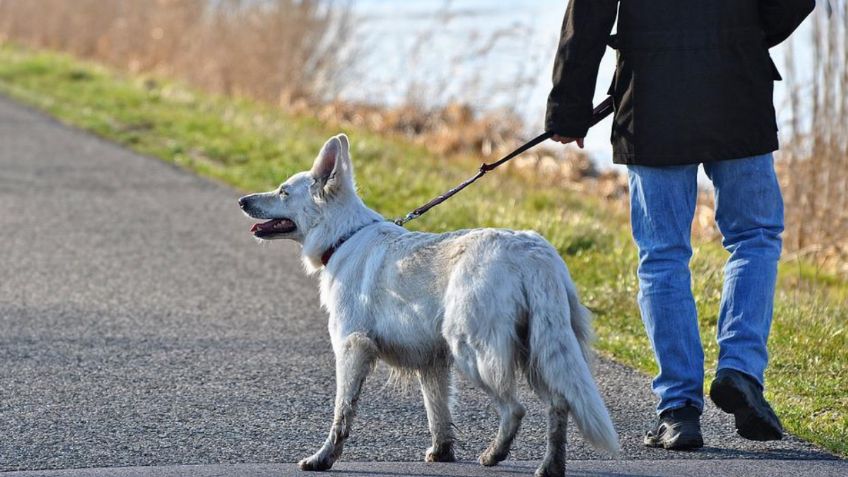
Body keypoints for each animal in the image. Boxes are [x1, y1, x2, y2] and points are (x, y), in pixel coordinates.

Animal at [240, 134, 624, 476]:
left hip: (474, 351)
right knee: (559, 404)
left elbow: (342, 413)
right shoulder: (432, 363)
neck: (343, 236)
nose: (242, 201)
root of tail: (532, 252)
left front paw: (323, 459)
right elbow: (438, 413)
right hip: (538, 350)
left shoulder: (352, 348)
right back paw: (550, 466)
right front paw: (443, 453)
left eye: (283, 191)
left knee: (515, 409)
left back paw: (494, 455)